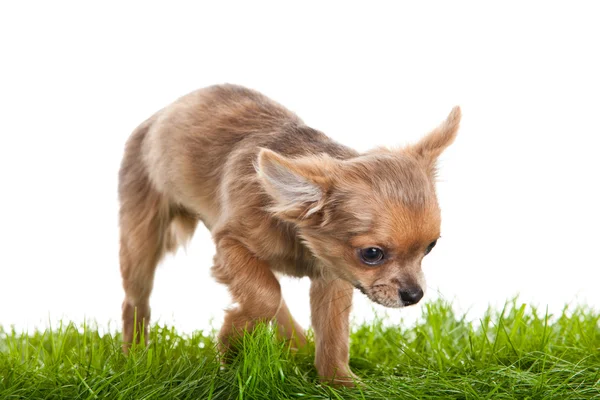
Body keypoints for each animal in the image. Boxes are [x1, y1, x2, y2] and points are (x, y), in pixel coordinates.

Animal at [119, 85, 462, 388]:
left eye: (430, 248)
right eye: (372, 254)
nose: (414, 295)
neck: (298, 235)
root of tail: (158, 115)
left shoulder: (333, 274)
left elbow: (333, 332)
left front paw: (340, 383)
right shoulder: (230, 244)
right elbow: (266, 295)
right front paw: (231, 344)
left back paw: (296, 343)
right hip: (140, 240)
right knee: (135, 302)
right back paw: (135, 357)